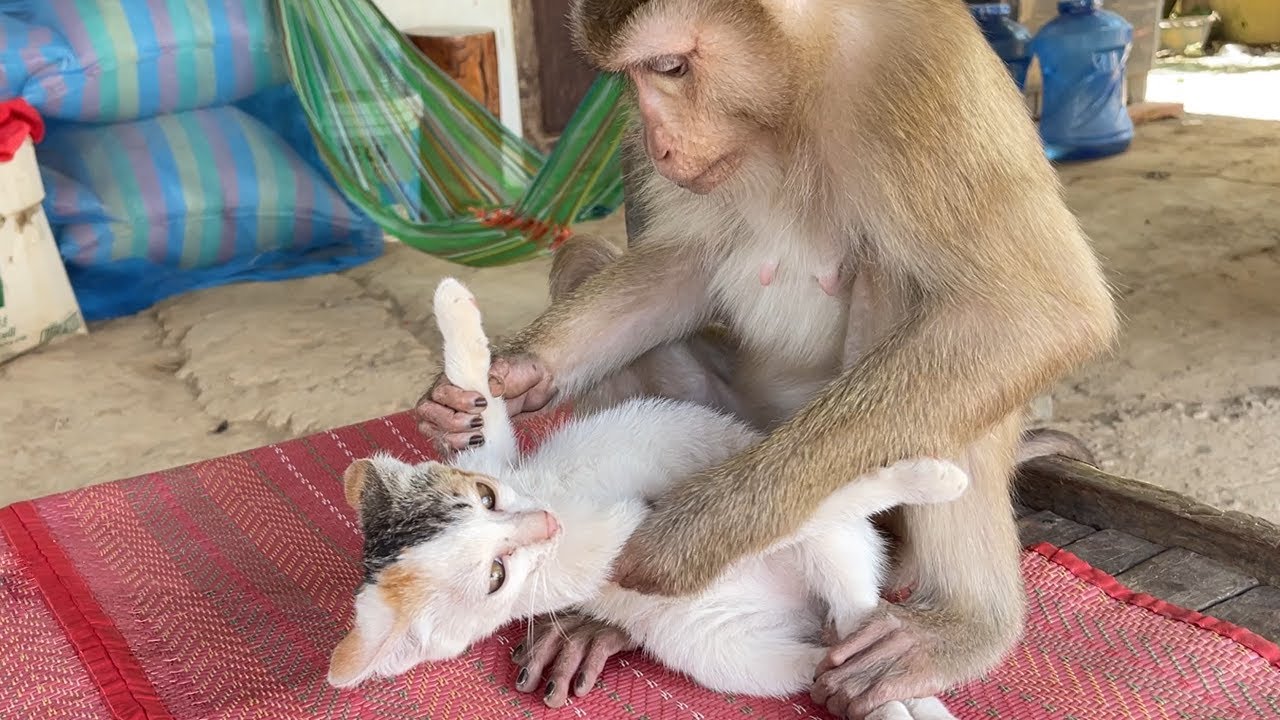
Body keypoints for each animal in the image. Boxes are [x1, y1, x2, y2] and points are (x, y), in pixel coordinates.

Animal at [415, 0, 1118, 717]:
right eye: (635, 76)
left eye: (671, 66)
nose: (656, 139)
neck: (794, 96)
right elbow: (685, 263)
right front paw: (507, 377)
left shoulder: (926, 73)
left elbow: (1030, 312)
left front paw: (681, 541)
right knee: (583, 257)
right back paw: (601, 624)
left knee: (939, 310)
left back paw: (959, 625)